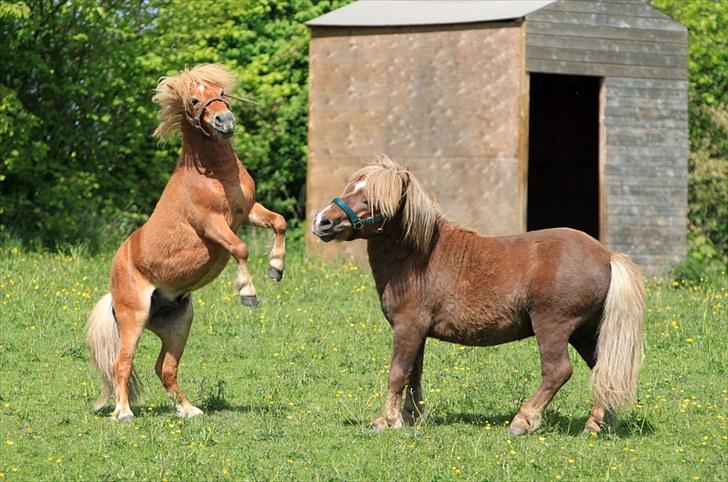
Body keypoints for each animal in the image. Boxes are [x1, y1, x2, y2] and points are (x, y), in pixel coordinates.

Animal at [86, 65, 286, 422]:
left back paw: (188, 409)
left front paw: (276, 268)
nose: (225, 121)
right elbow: (241, 249)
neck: (213, 175)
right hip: (133, 320)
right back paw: (123, 412)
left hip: (178, 325)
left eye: (220, 91)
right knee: (122, 363)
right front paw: (248, 293)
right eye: (194, 99)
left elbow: (279, 222)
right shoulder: (212, 225)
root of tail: (114, 285)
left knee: (165, 368)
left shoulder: (247, 213)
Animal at [312, 157, 644, 434]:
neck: (419, 256)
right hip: (586, 332)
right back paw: (596, 424)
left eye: (372, 199)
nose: (322, 221)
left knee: (558, 371)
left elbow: (397, 373)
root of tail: (606, 256)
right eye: (350, 188)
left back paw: (524, 421)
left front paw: (385, 421)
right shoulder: (416, 332)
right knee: (601, 369)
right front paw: (411, 417)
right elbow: (414, 375)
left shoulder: (408, 327)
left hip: (553, 327)